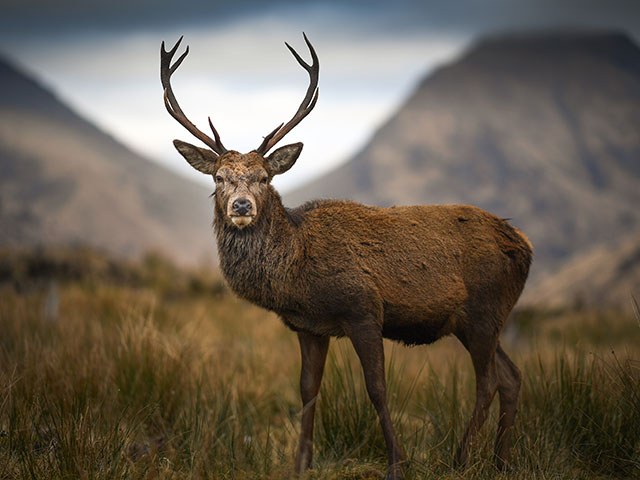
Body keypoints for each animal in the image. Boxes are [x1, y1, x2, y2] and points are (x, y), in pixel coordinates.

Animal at [161, 34, 536, 480]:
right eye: (219, 177)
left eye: (265, 178)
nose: (240, 205)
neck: (298, 270)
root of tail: (525, 247)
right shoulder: (308, 327)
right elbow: (307, 390)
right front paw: (300, 464)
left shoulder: (363, 310)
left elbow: (376, 389)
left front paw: (397, 462)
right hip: (480, 320)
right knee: (511, 376)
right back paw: (500, 461)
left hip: (483, 310)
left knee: (490, 380)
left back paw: (461, 459)